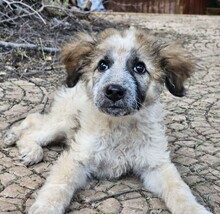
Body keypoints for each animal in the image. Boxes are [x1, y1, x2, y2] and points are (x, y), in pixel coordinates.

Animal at [3, 27, 211, 213]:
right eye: (102, 65)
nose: (114, 91)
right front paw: (46, 207)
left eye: (139, 67)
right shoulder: (77, 157)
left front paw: (193, 209)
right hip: (63, 122)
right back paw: (24, 145)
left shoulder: (156, 164)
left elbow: (178, 189)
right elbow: (59, 185)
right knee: (34, 123)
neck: (119, 126)